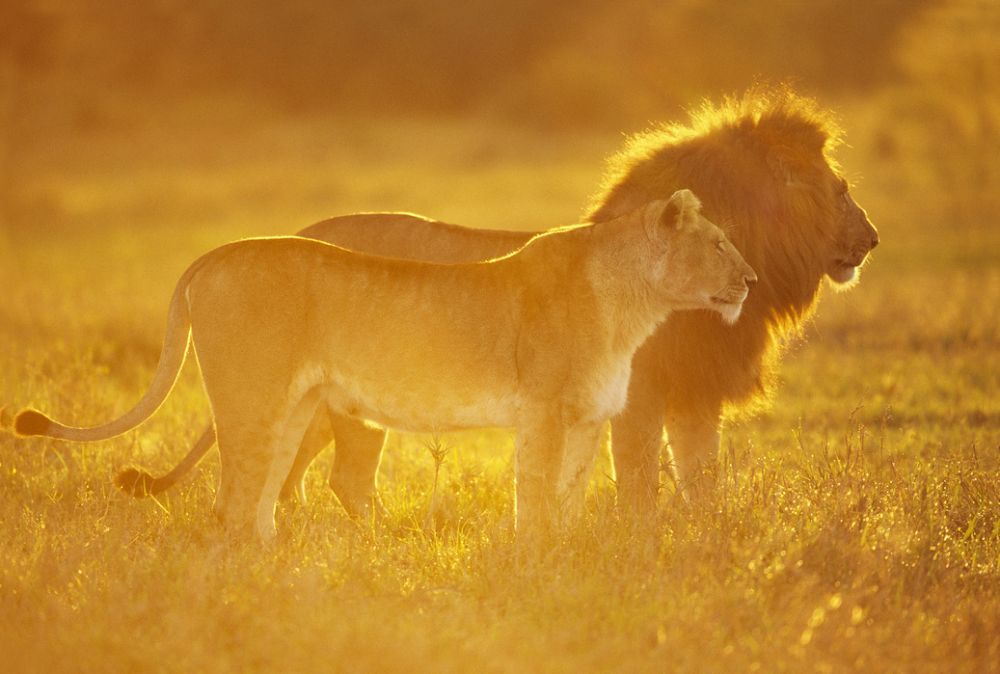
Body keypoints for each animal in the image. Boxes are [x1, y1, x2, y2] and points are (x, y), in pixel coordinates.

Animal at [15, 190, 757, 541]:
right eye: (720, 244)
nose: (750, 281)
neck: (633, 305)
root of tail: (215, 253)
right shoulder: (543, 412)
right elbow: (537, 497)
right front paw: (535, 562)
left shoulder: (586, 418)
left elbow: (571, 499)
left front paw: (570, 557)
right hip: (253, 401)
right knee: (231, 504)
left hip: (296, 407)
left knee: (262, 500)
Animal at [128, 86, 877, 517]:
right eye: (838, 188)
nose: (871, 240)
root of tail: (300, 231)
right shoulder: (638, 397)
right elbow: (639, 487)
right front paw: (640, 556)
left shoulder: (694, 395)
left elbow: (703, 486)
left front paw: (704, 552)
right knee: (320, 478)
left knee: (297, 477)